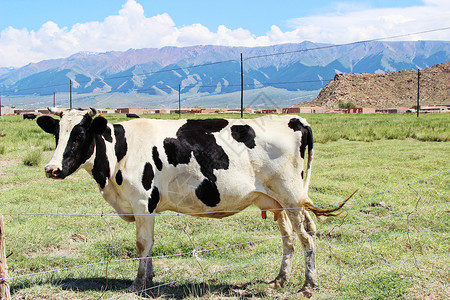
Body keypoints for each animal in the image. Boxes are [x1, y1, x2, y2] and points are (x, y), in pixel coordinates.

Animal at [37, 108, 350, 298]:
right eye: (57, 134)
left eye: (79, 134)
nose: (51, 169)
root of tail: (295, 118)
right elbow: (150, 244)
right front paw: (150, 278)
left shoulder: (141, 201)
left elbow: (142, 243)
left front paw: (138, 283)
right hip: (276, 200)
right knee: (290, 237)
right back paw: (279, 280)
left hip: (291, 195)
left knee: (306, 235)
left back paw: (308, 285)